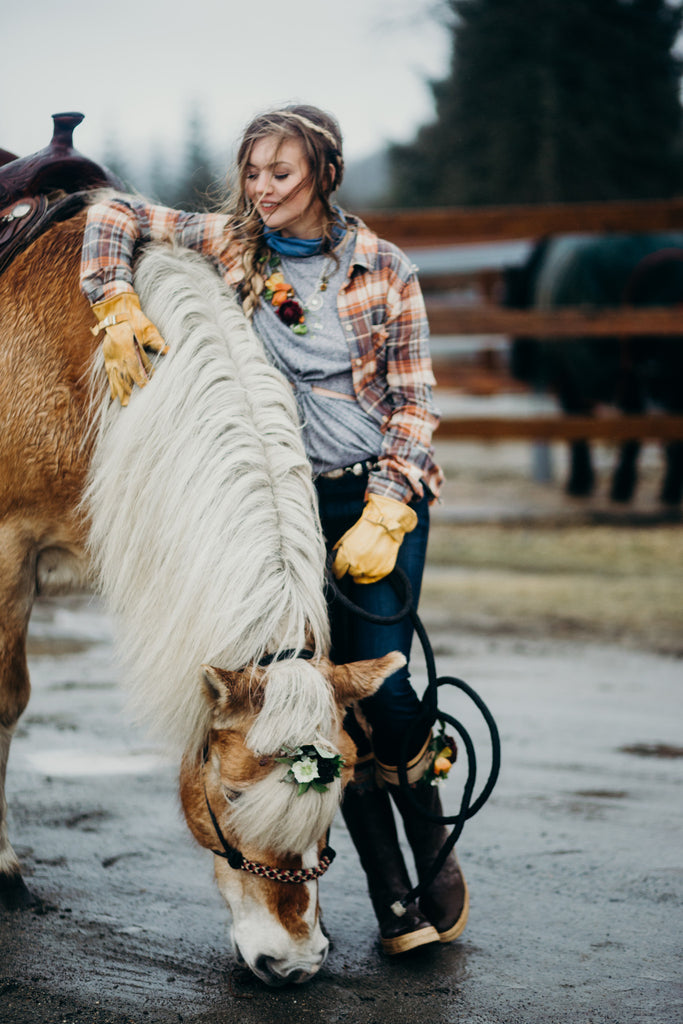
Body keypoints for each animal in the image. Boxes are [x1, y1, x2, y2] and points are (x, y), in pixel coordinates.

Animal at [0, 207, 401, 983]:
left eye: (337, 795)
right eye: (235, 793)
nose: (294, 961)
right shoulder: (6, 550)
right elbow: (4, 701)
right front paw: (2, 866)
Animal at [501, 233, 683, 503]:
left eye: (509, 301)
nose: (515, 366)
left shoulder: (567, 373)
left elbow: (576, 421)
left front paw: (579, 482)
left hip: (626, 367)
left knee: (634, 420)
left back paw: (623, 487)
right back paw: (666, 491)